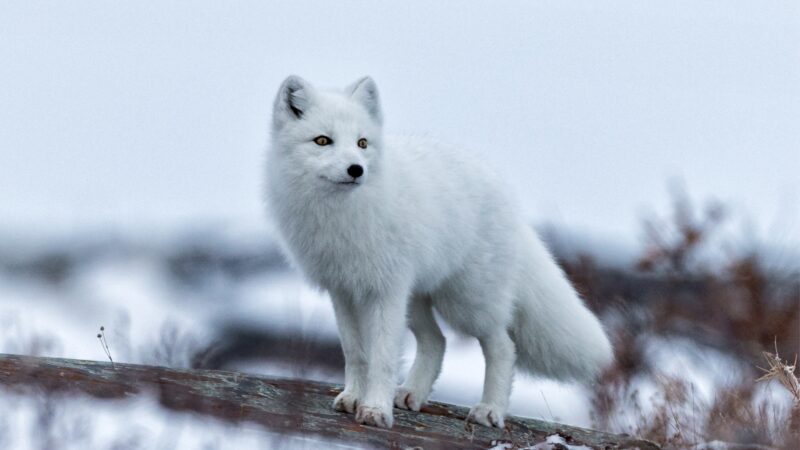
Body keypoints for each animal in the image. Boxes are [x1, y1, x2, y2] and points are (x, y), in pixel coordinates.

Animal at [266, 74, 616, 428]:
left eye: (362, 143)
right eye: (322, 141)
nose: (356, 169)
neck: (341, 215)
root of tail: (506, 194)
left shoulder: (386, 290)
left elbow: (382, 358)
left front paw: (376, 410)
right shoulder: (343, 291)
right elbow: (355, 353)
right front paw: (353, 397)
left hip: (466, 302)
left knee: (502, 346)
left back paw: (490, 410)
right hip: (419, 298)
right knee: (438, 341)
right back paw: (412, 394)